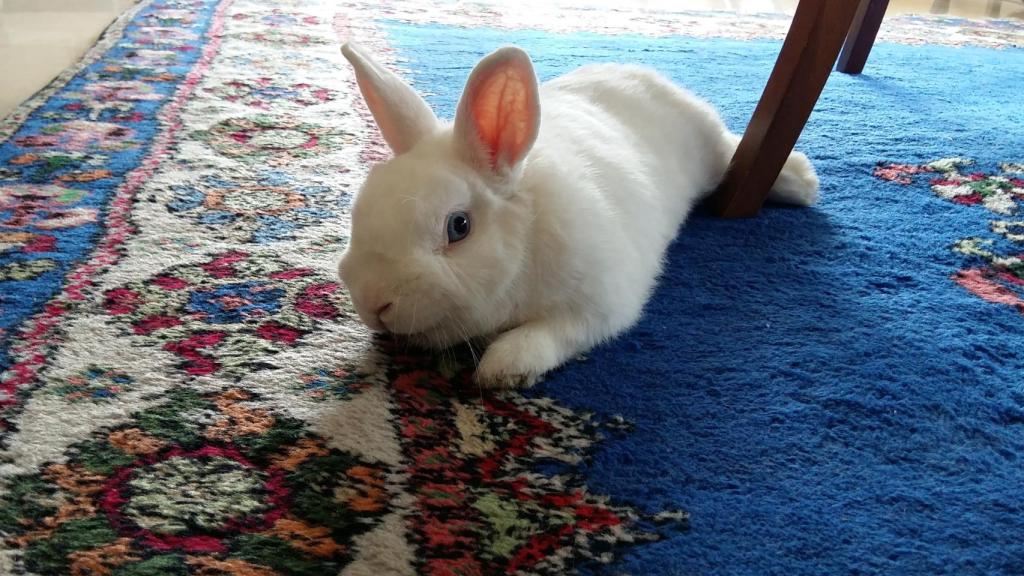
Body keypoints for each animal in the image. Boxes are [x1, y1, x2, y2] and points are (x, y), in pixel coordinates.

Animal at [337, 42, 818, 388]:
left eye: (459, 227)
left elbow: (553, 333)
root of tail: (636, 70)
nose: (374, 303)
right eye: (359, 211)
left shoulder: (602, 304)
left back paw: (802, 181)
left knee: (731, 149)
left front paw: (504, 367)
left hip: (708, 147)